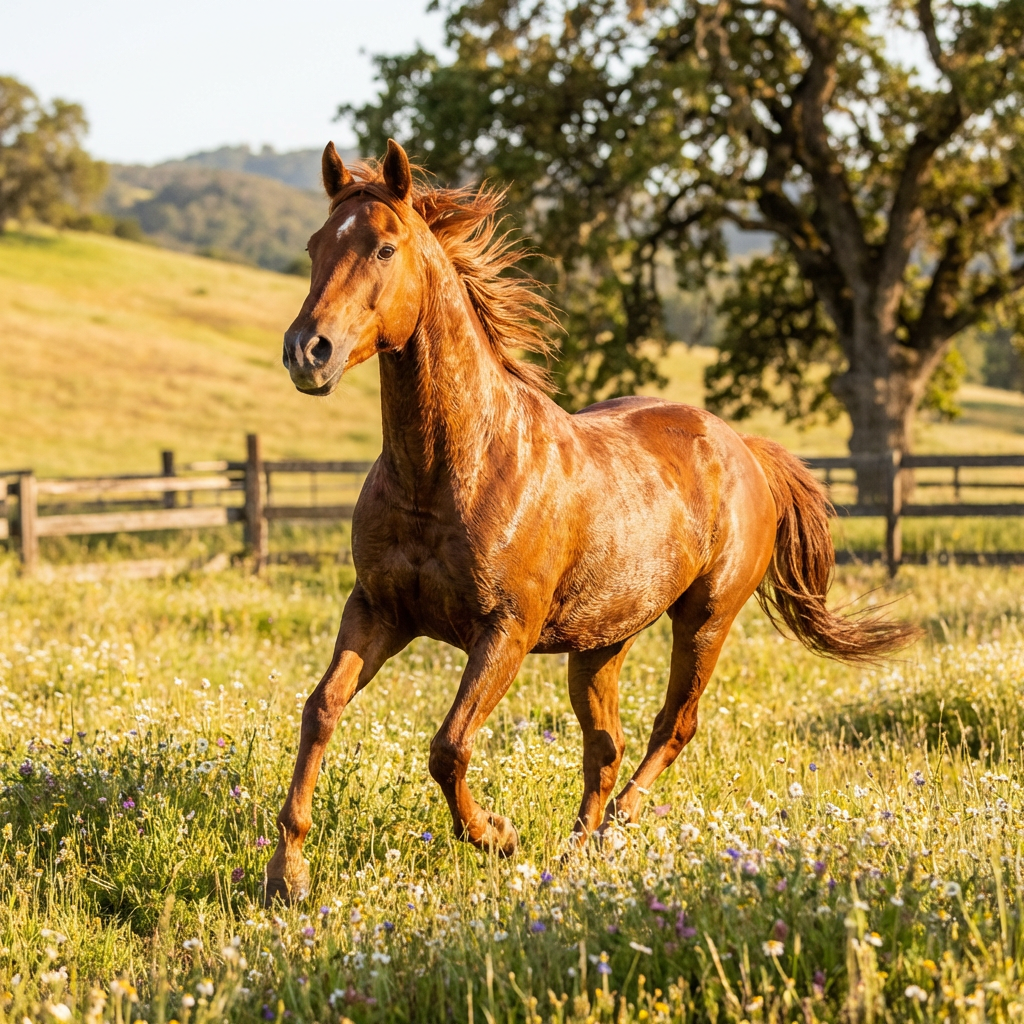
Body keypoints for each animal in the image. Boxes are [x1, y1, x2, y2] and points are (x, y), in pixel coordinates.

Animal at [265, 139, 919, 902]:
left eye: (385, 248)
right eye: (315, 245)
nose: (307, 352)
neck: (450, 470)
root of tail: (742, 447)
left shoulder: (505, 630)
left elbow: (449, 746)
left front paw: (496, 835)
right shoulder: (376, 611)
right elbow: (321, 710)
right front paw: (287, 874)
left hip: (706, 620)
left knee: (672, 727)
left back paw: (611, 832)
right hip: (603, 641)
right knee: (605, 746)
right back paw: (576, 852)